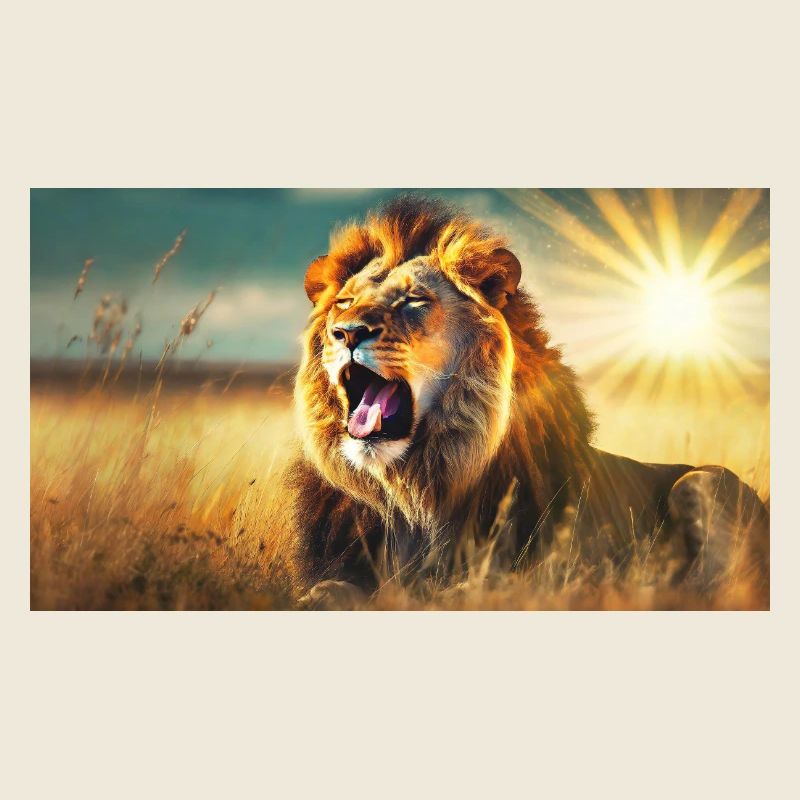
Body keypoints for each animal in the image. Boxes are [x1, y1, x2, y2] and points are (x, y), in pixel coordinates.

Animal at [287, 196, 768, 608]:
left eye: (414, 301)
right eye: (344, 302)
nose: (348, 332)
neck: (416, 489)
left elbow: (463, 591)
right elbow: (327, 590)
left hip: (702, 481)